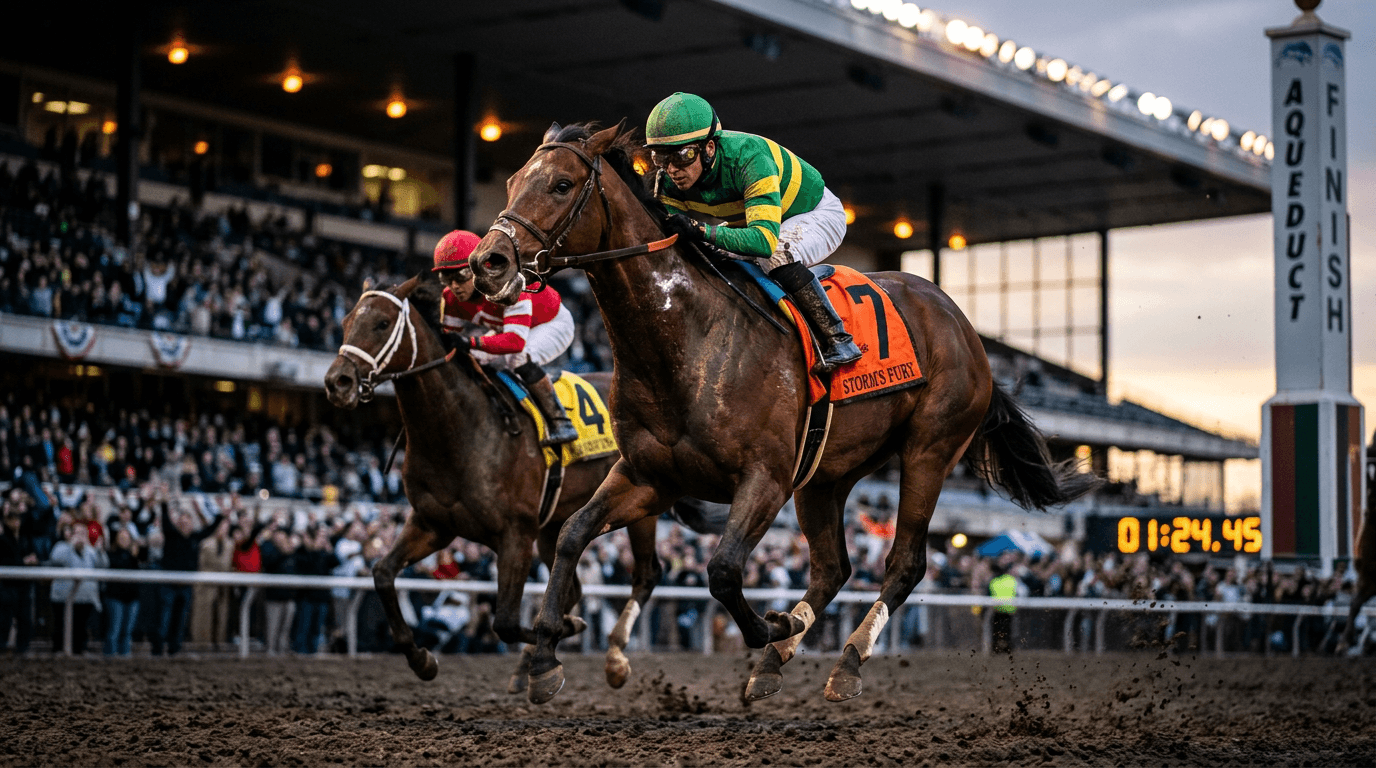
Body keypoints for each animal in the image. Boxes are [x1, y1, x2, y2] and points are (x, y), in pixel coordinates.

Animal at [323, 275, 699, 692]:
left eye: (382, 323)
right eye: (345, 322)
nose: (337, 382)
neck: (459, 430)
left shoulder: (515, 533)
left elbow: (503, 621)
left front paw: (564, 632)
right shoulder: (432, 524)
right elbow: (382, 574)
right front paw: (420, 657)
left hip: (639, 501)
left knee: (646, 573)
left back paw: (613, 658)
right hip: (554, 524)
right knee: (573, 582)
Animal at [469, 120, 1099, 704]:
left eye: (561, 183)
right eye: (512, 180)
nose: (488, 261)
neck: (689, 341)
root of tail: (962, 324)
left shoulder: (764, 478)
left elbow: (723, 570)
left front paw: (771, 624)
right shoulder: (648, 476)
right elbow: (574, 534)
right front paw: (545, 656)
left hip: (930, 449)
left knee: (904, 563)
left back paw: (845, 662)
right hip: (825, 474)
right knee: (832, 567)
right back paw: (778, 657)